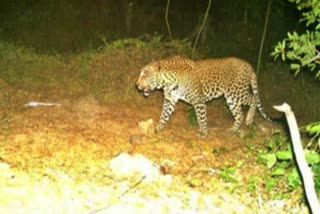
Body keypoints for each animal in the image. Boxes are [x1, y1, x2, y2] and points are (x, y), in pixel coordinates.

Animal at [135, 55, 272, 138]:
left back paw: (249, 119)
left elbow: (201, 118)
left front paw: (203, 133)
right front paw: (158, 128)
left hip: (237, 92)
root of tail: (248, 64)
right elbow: (164, 115)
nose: (137, 85)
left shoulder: (198, 101)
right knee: (239, 113)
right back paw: (233, 130)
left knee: (253, 98)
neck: (167, 81)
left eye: (145, 74)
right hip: (231, 98)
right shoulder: (170, 100)